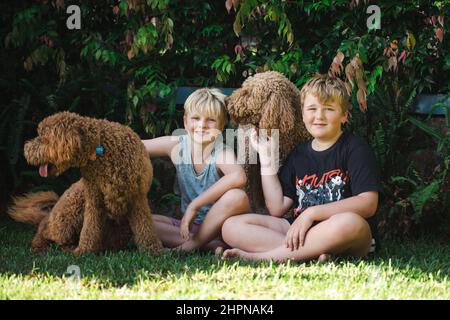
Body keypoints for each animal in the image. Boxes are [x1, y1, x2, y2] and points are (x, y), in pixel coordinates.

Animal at [8, 112, 163, 255]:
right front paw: (84, 251)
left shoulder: (137, 197)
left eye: (44, 137)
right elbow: (90, 227)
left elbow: (145, 227)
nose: (26, 149)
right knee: (47, 232)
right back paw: (46, 246)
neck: (101, 147)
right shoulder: (94, 198)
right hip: (71, 208)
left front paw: (153, 250)